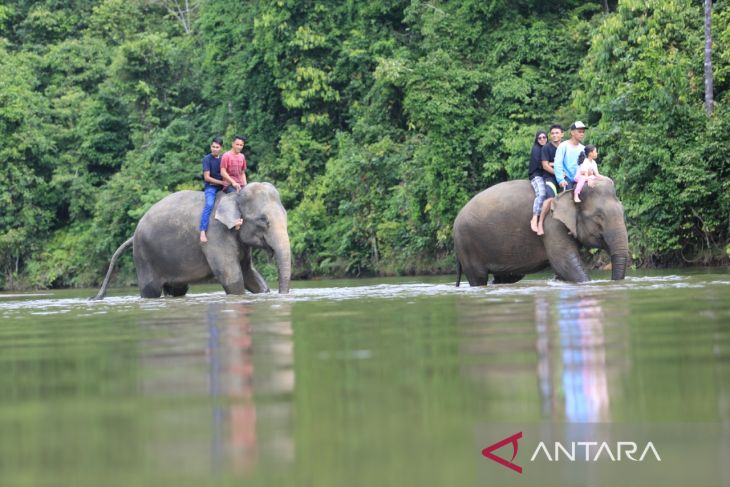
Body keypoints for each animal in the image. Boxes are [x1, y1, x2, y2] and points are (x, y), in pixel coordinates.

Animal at [93, 182, 290, 300]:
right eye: (263, 220)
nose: (282, 294)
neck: (233, 196)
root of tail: (133, 235)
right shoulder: (215, 235)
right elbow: (232, 277)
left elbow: (249, 273)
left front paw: (264, 292)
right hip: (143, 255)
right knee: (151, 290)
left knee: (177, 289)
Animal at [450, 179, 624, 286]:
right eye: (598, 217)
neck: (571, 189)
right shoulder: (551, 224)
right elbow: (565, 263)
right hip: (466, 244)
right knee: (478, 277)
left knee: (507, 277)